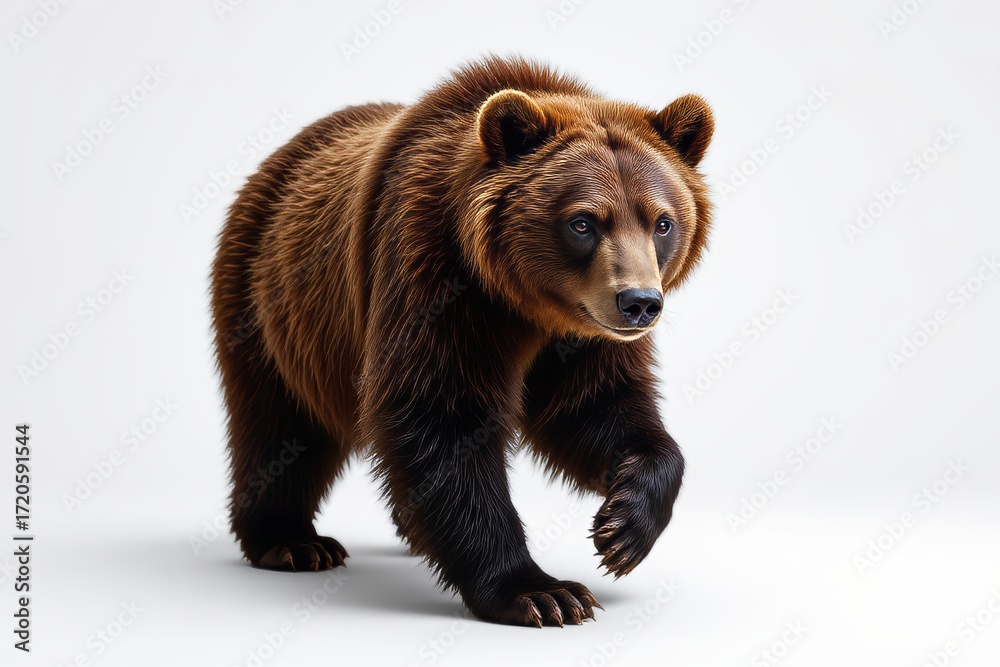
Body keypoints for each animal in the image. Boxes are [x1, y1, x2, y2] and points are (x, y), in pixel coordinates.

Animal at [210, 55, 714, 627]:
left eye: (662, 222)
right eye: (584, 221)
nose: (639, 302)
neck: (523, 302)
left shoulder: (581, 335)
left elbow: (596, 408)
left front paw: (623, 526)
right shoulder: (433, 274)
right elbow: (441, 416)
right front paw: (544, 592)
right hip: (270, 304)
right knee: (278, 424)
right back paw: (292, 541)